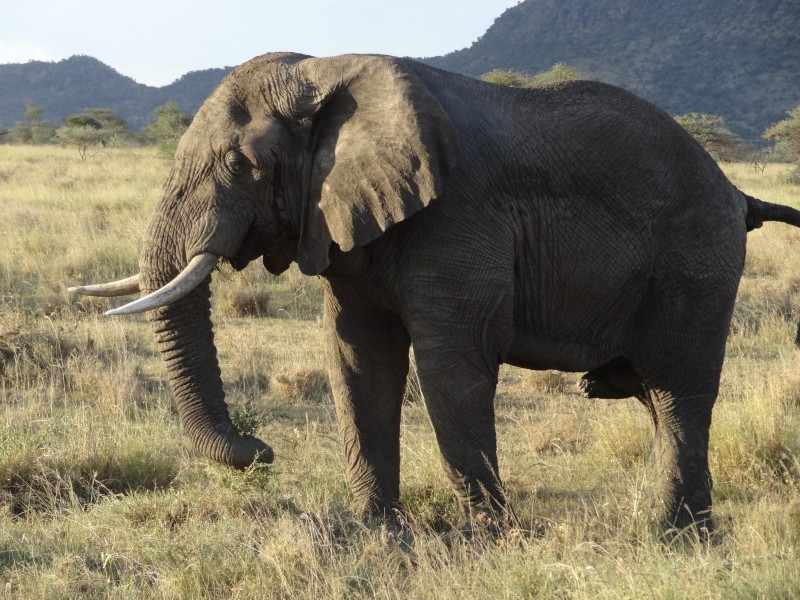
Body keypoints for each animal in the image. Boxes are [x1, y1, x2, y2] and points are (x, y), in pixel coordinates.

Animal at [69, 52, 800, 536]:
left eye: (242, 164)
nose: (261, 450)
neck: (326, 74)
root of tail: (735, 191)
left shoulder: (458, 219)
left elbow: (450, 367)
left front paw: (489, 539)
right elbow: (357, 359)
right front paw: (377, 533)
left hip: (696, 264)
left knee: (679, 391)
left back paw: (678, 535)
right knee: (656, 396)